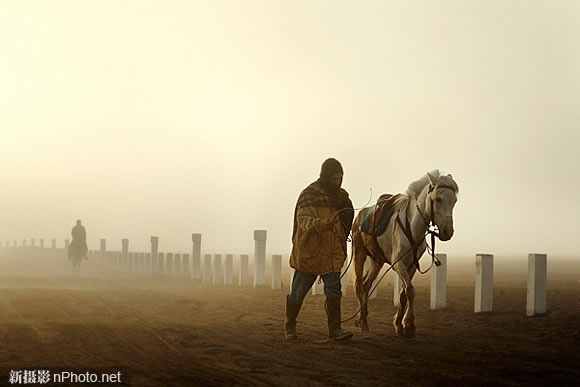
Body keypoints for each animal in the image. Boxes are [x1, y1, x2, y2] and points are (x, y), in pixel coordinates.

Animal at [352, 171, 460, 338]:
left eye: (454, 200)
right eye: (438, 199)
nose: (447, 232)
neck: (412, 226)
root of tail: (360, 216)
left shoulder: (412, 265)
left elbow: (403, 293)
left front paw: (399, 324)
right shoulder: (399, 264)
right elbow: (410, 291)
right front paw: (409, 325)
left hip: (377, 261)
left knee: (366, 285)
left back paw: (362, 319)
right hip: (359, 253)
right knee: (359, 285)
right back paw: (363, 321)